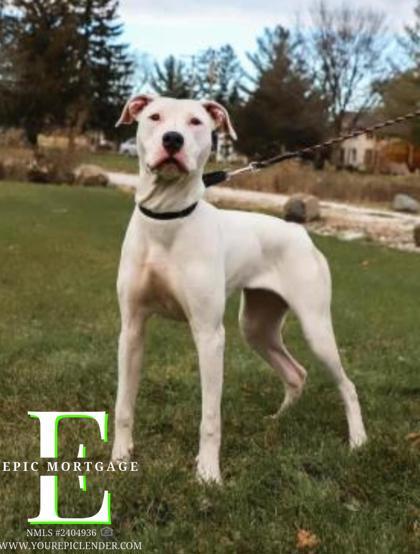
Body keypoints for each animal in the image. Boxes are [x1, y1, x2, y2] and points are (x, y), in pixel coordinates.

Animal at [111, 96, 368, 484]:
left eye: (196, 121)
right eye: (154, 116)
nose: (173, 140)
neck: (168, 218)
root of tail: (299, 232)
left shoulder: (209, 335)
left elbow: (210, 417)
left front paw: (208, 474)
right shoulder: (132, 329)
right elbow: (123, 404)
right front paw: (119, 458)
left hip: (316, 327)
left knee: (347, 385)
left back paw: (358, 441)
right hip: (257, 326)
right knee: (296, 373)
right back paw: (279, 420)